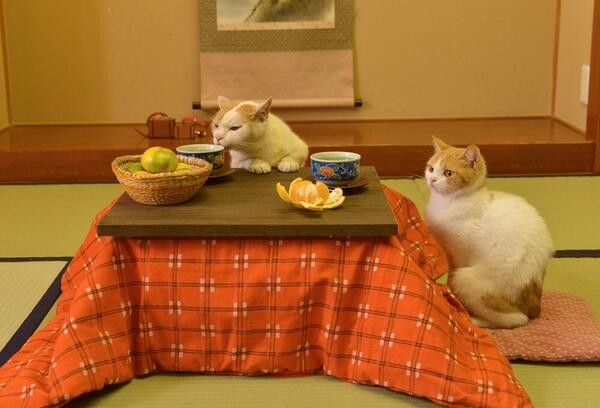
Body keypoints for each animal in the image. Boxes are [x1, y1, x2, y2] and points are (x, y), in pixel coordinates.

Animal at [423, 136, 554, 329]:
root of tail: (534, 306)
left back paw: (475, 320)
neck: (449, 201)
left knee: (516, 319)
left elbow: (450, 279)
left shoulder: (459, 257)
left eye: (448, 173)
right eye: (431, 169)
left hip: (468, 279)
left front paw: (455, 303)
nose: (432, 179)